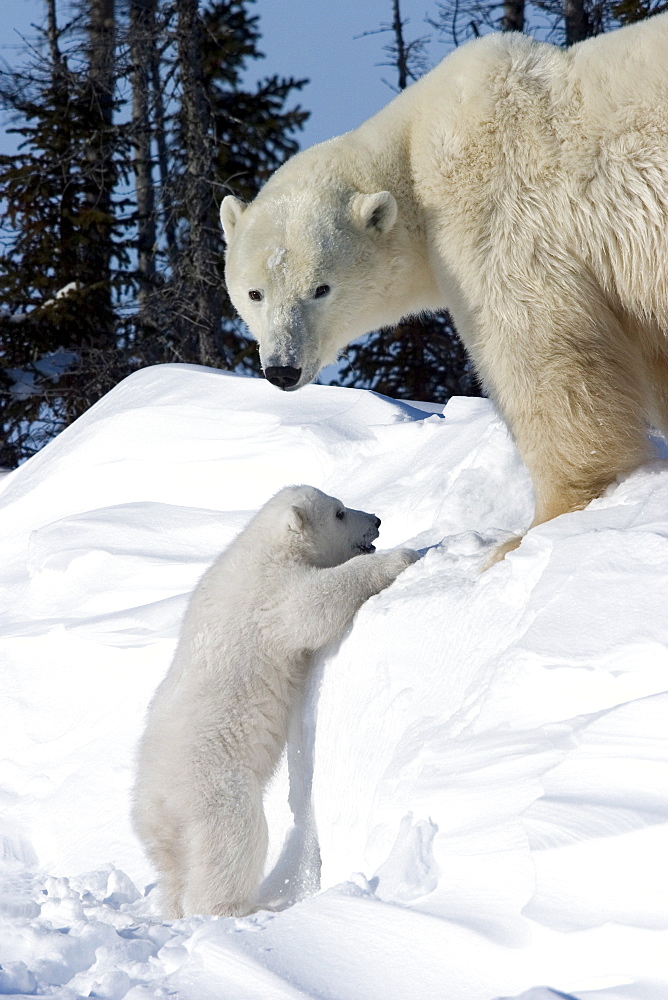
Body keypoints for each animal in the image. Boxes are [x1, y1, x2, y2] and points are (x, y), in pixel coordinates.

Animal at [222, 19, 668, 564]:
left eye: (320, 288)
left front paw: (536, 530)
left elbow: (538, 348)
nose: (281, 370)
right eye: (255, 293)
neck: (413, 150)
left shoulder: (497, 212)